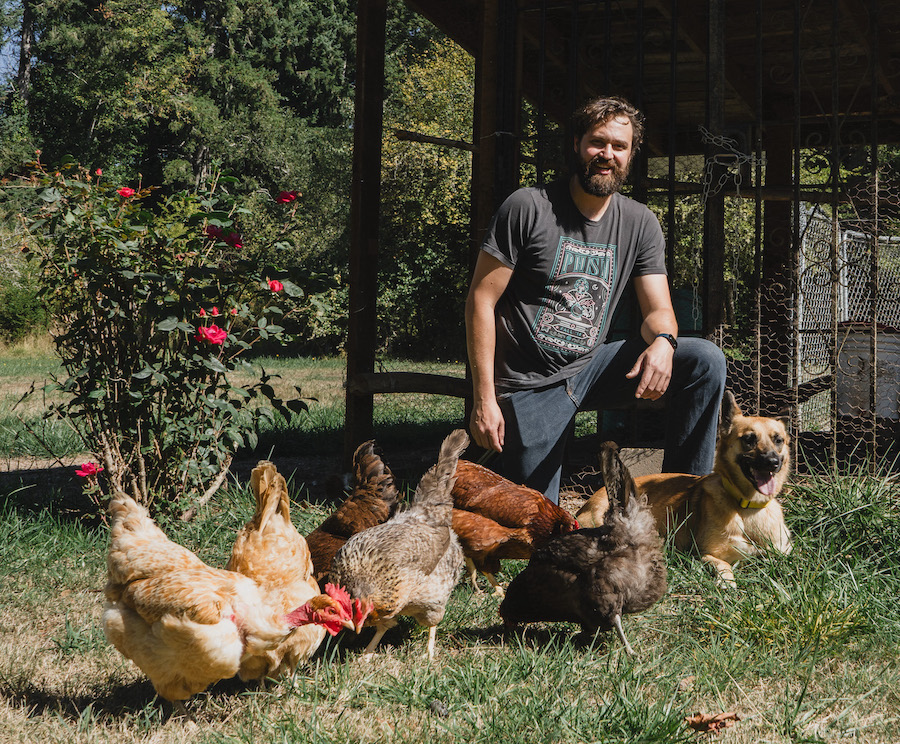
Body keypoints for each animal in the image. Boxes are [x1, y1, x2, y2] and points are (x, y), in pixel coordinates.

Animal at [580, 390, 792, 588]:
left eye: (778, 440)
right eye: (749, 439)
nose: (772, 462)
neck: (747, 507)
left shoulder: (783, 552)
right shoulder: (704, 554)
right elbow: (724, 565)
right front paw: (727, 582)